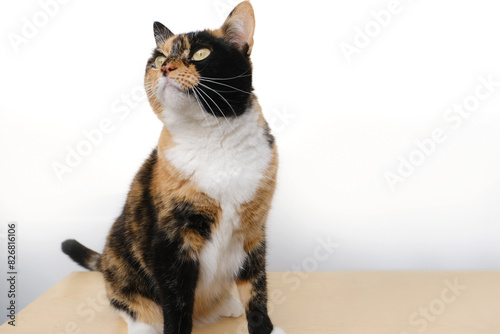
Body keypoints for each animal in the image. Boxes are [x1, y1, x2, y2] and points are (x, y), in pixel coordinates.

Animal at [61, 2, 286, 334]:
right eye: (159, 58)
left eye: (201, 53)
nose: (166, 68)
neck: (213, 139)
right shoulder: (170, 240)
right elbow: (176, 303)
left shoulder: (253, 231)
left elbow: (256, 289)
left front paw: (264, 328)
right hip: (119, 255)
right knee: (124, 299)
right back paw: (142, 324)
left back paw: (226, 305)